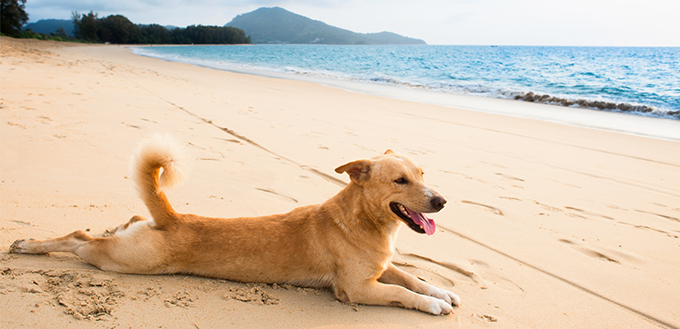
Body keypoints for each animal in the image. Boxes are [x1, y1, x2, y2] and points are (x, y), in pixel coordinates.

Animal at [7, 135, 460, 312]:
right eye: (400, 181)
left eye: (422, 173)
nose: (441, 200)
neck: (362, 220)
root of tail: (170, 217)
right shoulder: (358, 289)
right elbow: (402, 293)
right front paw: (432, 304)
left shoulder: (382, 268)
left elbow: (413, 279)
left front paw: (441, 291)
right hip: (125, 261)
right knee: (78, 238)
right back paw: (28, 246)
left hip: (130, 242)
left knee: (114, 226)